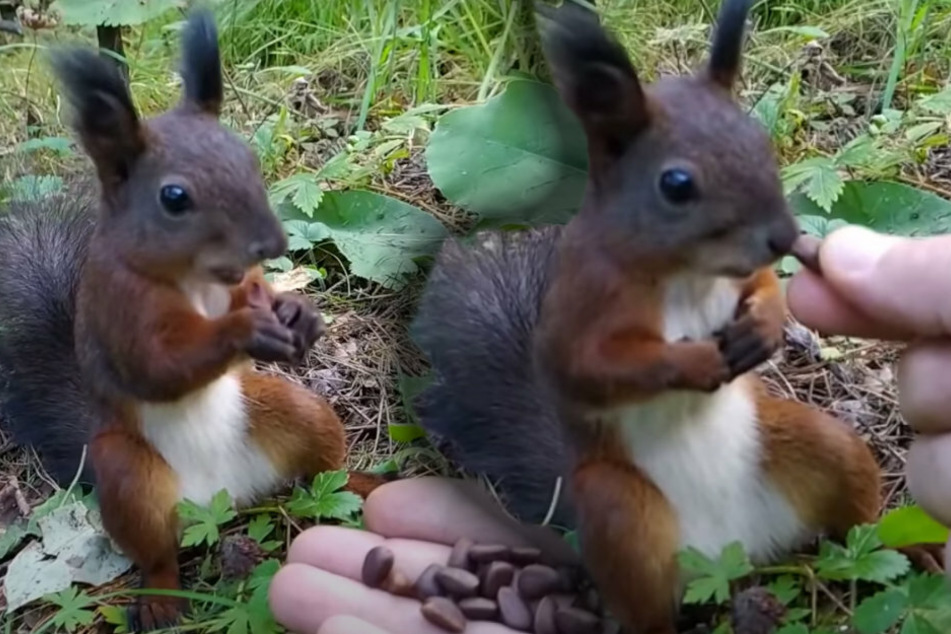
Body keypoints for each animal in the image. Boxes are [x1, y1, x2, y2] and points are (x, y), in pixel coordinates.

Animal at [0, 11, 388, 631]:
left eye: (250, 161)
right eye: (174, 197)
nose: (272, 243)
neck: (198, 279)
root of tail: (220, 500)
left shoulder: (240, 282)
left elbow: (257, 292)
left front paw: (296, 311)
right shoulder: (119, 308)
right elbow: (158, 367)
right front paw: (244, 332)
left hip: (291, 411)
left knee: (322, 469)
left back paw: (365, 482)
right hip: (129, 477)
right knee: (156, 550)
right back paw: (160, 596)